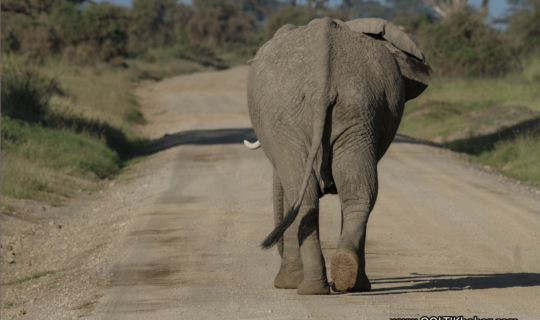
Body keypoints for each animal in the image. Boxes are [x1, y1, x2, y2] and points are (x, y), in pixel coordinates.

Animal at [247, 17, 432, 296]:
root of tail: (321, 85)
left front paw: (285, 284)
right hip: (358, 109)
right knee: (357, 191)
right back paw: (346, 278)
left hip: (295, 118)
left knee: (304, 195)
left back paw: (310, 288)